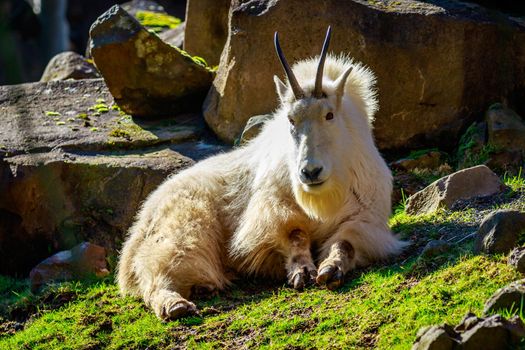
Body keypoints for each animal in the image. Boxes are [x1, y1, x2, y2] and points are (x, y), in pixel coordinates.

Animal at [116, 28, 408, 320]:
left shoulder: (365, 218)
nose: (310, 172)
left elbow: (344, 243)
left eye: (329, 115)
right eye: (291, 119)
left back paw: (202, 289)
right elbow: (294, 234)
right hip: (183, 225)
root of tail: (140, 224)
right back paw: (175, 304)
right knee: (156, 272)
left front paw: (330, 269)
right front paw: (302, 272)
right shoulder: (272, 208)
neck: (324, 197)